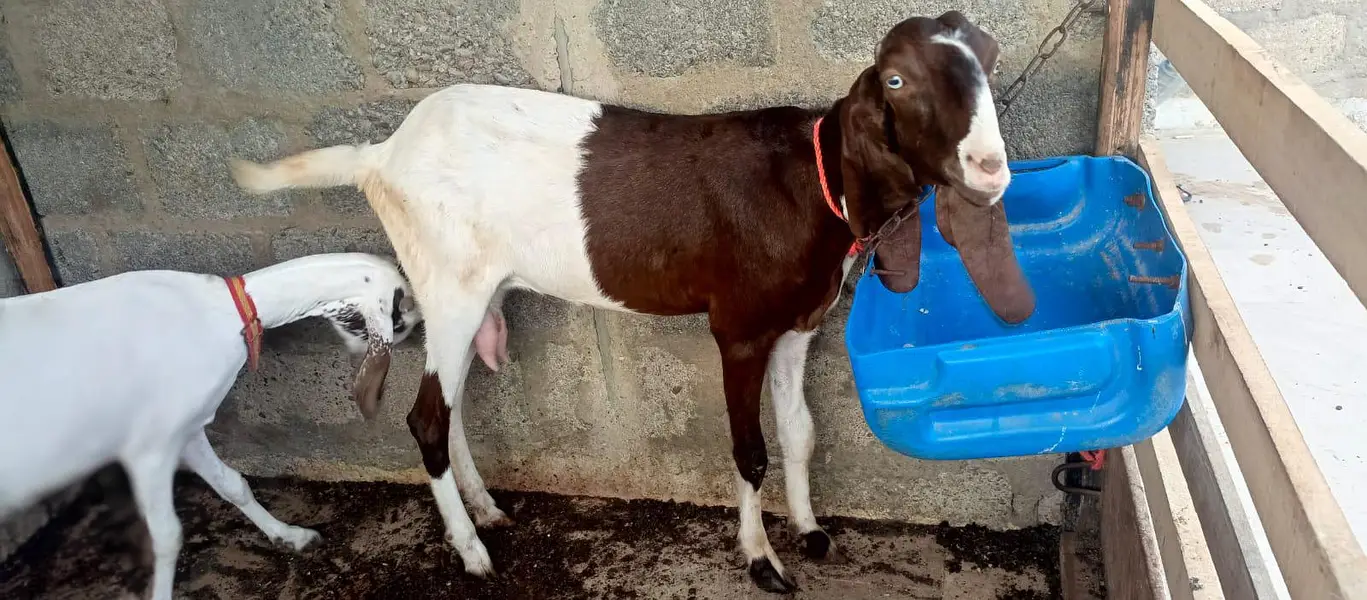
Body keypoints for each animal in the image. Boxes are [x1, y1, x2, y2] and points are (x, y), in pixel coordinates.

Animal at [0, 253, 422, 600]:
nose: (423, 327)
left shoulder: (186, 427)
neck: (218, 312)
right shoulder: (149, 447)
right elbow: (167, 536)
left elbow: (233, 484)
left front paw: (292, 536)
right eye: (402, 315)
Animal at [229, 12, 1034, 593]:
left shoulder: (801, 326)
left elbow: (800, 432)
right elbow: (750, 451)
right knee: (425, 417)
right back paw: (473, 554)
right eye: (896, 80)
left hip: (467, 290)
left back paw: (487, 511)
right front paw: (761, 560)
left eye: (990, 58)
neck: (810, 182)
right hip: (449, 284)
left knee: (447, 409)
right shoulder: (739, 328)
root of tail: (380, 155)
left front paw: (808, 531)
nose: (990, 168)